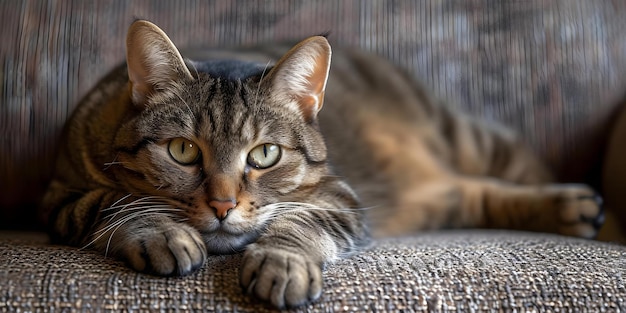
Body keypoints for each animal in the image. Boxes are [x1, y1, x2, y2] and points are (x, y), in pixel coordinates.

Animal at [37, 20, 600, 308]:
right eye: (183, 151)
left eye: (265, 154)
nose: (221, 204)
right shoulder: (60, 196)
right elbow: (113, 201)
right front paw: (162, 232)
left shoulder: (339, 196)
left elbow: (300, 225)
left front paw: (281, 263)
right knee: (471, 191)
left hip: (467, 137)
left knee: (501, 173)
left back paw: (576, 207)